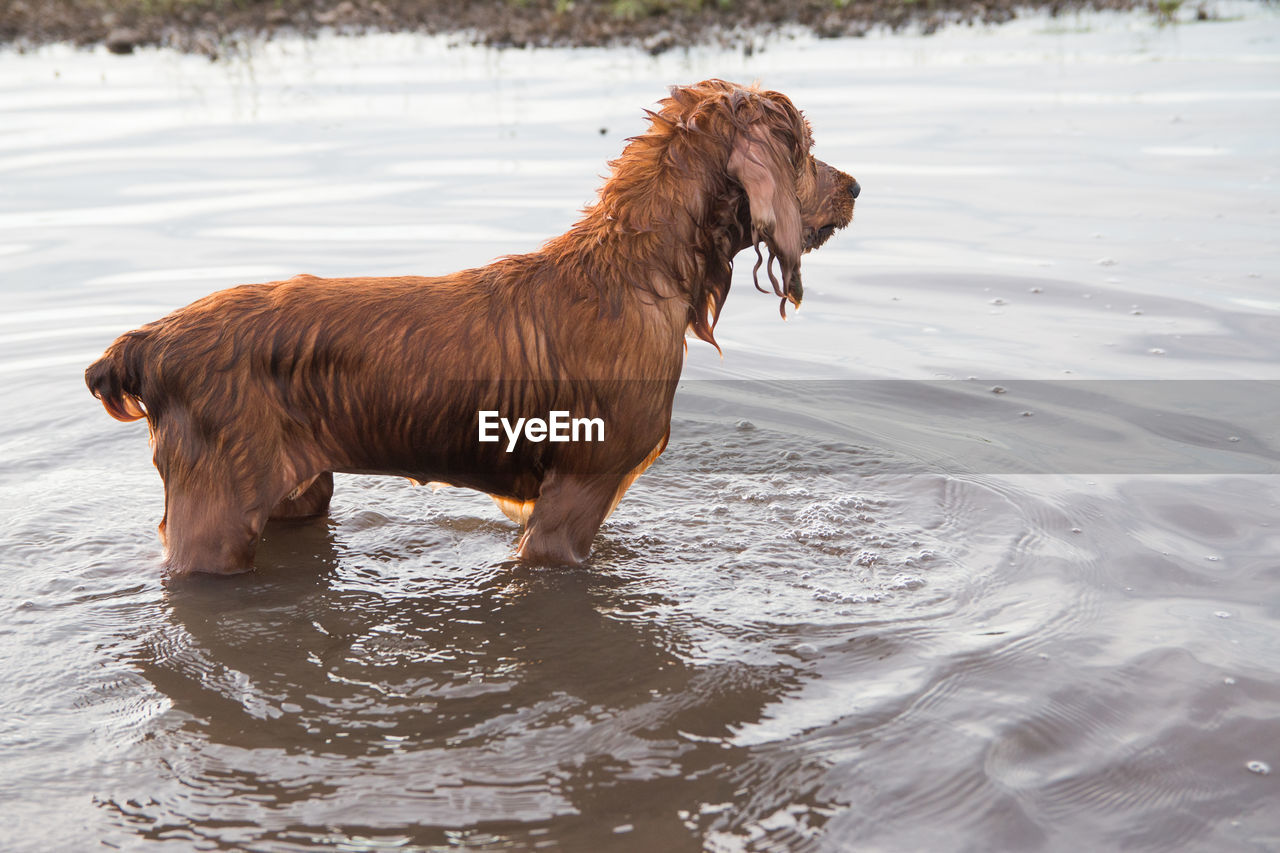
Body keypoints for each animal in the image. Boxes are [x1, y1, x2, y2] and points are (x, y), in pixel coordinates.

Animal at [85, 79, 855, 573]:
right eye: (802, 148)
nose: (854, 186)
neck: (635, 274)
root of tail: (149, 340)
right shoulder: (574, 499)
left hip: (296, 492)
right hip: (216, 511)